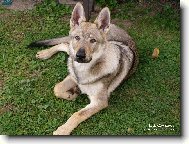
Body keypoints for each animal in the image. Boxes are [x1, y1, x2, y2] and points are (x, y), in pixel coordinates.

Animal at [29, 2, 139, 135]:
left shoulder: (99, 102)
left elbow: (77, 115)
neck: (85, 69)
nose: (80, 55)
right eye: (77, 38)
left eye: (92, 40)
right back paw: (45, 53)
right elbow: (57, 88)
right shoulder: (73, 77)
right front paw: (71, 94)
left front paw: (63, 130)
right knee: (64, 44)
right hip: (71, 53)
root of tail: (113, 25)